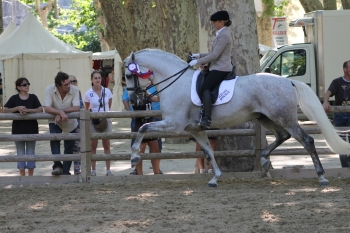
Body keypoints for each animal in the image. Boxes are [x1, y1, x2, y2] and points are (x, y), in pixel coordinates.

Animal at [123, 49, 350, 187]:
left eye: (128, 75)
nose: (134, 99)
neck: (176, 83)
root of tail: (288, 81)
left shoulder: (174, 125)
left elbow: (143, 129)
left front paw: (134, 157)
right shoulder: (195, 130)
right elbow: (208, 152)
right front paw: (215, 178)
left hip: (284, 118)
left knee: (307, 140)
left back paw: (321, 177)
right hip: (266, 118)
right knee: (282, 136)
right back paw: (264, 160)